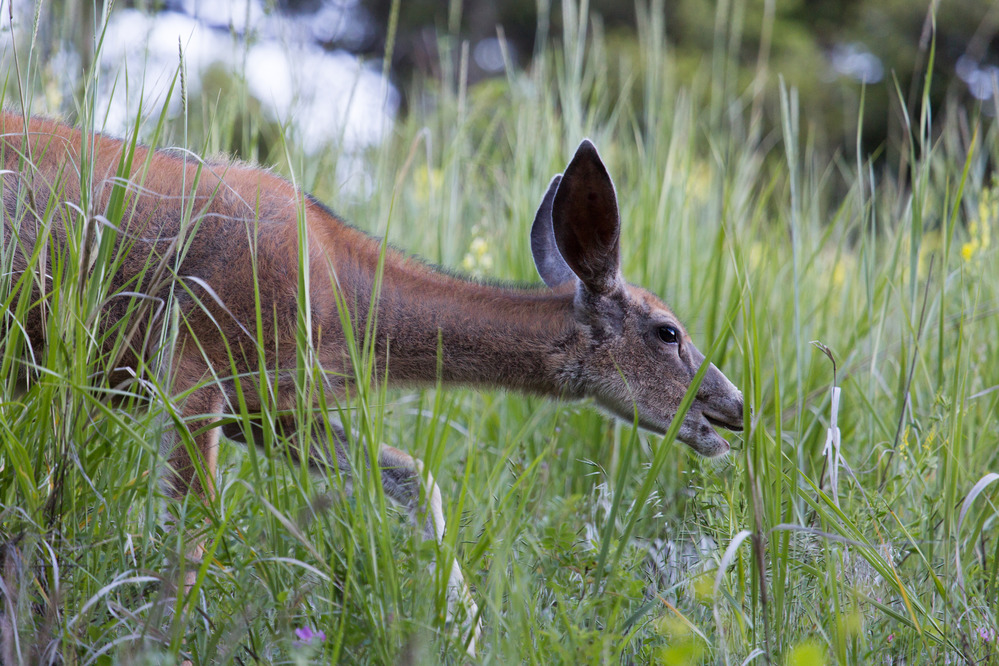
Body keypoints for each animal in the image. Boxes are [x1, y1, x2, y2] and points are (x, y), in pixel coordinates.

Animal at [0, 112, 744, 656]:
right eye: (668, 332)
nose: (734, 407)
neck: (344, 314)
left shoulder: (269, 410)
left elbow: (414, 476)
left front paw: (467, 636)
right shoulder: (193, 365)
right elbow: (195, 529)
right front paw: (161, 645)